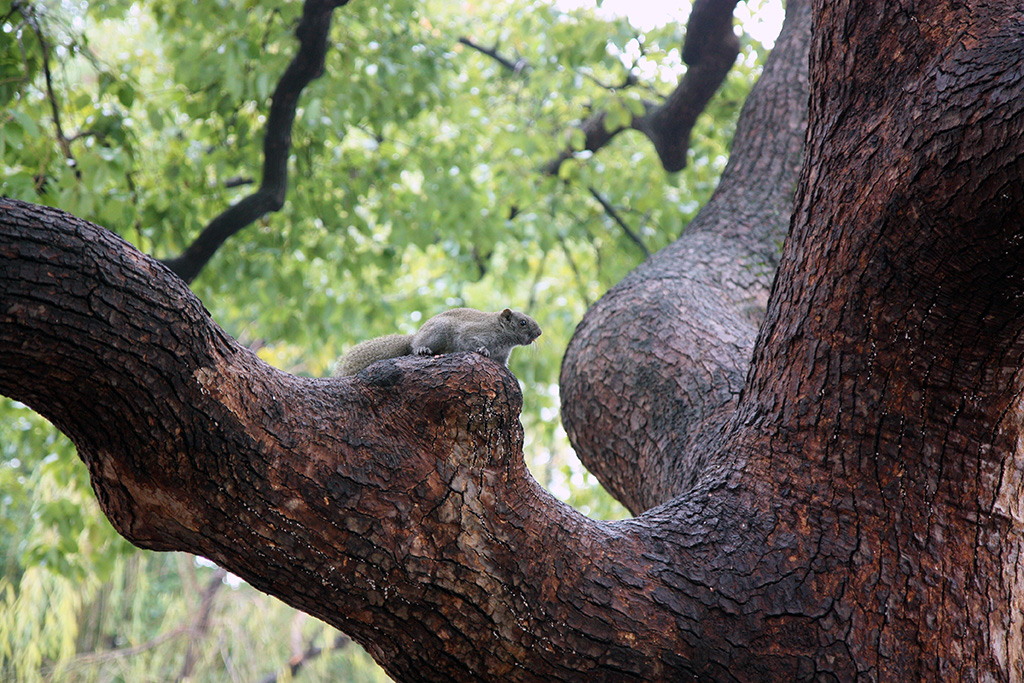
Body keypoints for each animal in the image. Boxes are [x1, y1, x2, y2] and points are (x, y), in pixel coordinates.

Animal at [335, 307, 542, 376]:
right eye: (523, 322)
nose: (539, 333)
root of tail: (415, 336)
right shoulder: (472, 333)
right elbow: (471, 342)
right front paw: (483, 351)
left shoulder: (503, 355)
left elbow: (503, 363)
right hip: (438, 332)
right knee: (415, 348)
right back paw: (422, 349)